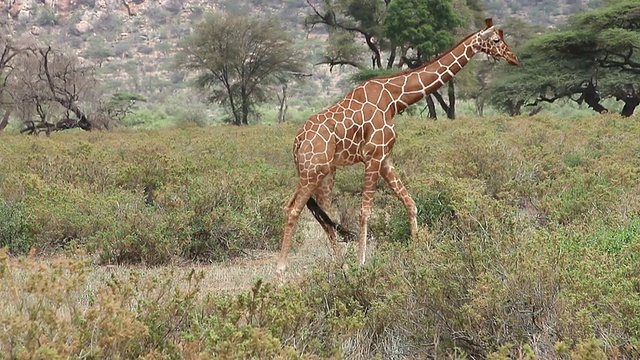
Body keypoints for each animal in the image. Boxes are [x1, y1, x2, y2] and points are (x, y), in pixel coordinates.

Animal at [276, 18, 520, 272]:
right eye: (496, 40)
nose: (514, 59)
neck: (394, 100)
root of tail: (297, 141)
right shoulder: (373, 155)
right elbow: (365, 212)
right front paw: (362, 262)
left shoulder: (385, 159)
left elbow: (410, 203)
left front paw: (417, 251)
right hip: (312, 170)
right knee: (293, 210)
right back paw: (281, 269)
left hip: (325, 172)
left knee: (323, 214)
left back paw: (342, 265)